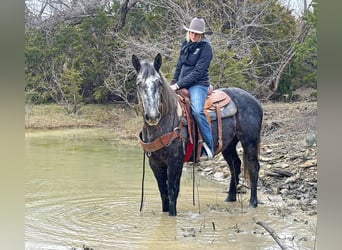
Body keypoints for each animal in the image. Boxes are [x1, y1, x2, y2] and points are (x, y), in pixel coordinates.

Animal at [132, 53, 264, 216]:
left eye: (159, 83)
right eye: (139, 83)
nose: (152, 116)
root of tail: (254, 101)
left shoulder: (175, 161)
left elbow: (172, 191)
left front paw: (172, 215)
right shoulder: (155, 163)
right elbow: (163, 193)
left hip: (250, 142)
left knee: (253, 168)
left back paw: (253, 202)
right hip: (228, 145)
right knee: (235, 165)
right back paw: (230, 197)